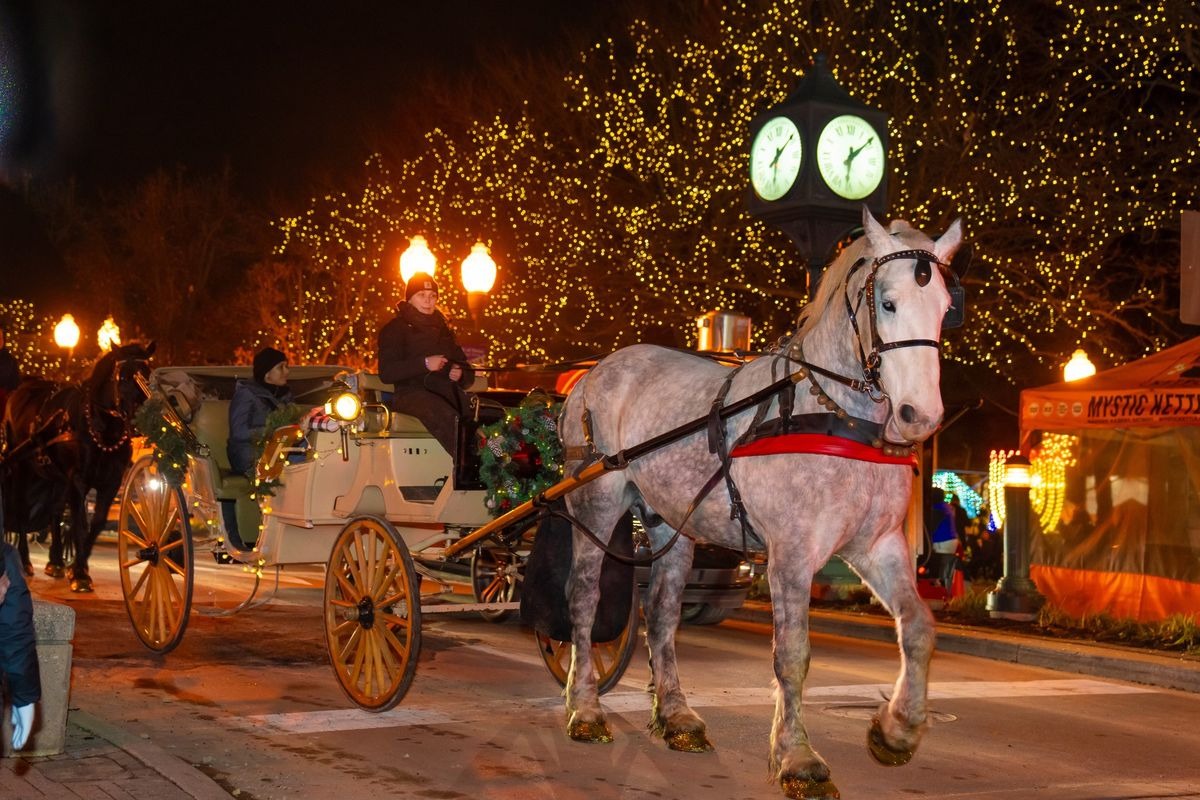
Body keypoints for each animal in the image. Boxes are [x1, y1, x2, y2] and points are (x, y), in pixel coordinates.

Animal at [2, 340, 154, 592]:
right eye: (122, 377)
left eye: (148, 375)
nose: (139, 420)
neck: (102, 430)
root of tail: (22, 388)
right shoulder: (78, 480)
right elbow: (80, 524)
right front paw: (81, 573)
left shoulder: (110, 482)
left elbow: (97, 522)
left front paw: (76, 567)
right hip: (22, 468)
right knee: (22, 510)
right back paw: (25, 560)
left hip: (55, 478)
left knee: (54, 510)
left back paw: (55, 562)